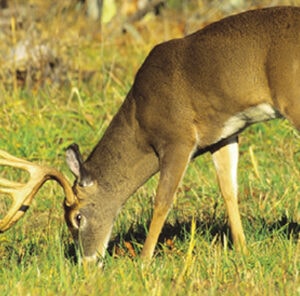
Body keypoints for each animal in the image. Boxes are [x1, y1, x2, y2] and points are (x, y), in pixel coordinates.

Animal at [0, 5, 300, 262]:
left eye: (77, 217)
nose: (87, 262)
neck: (139, 120)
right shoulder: (224, 133)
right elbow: (229, 190)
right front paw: (243, 250)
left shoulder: (178, 137)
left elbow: (162, 201)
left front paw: (144, 261)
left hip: (293, 102)